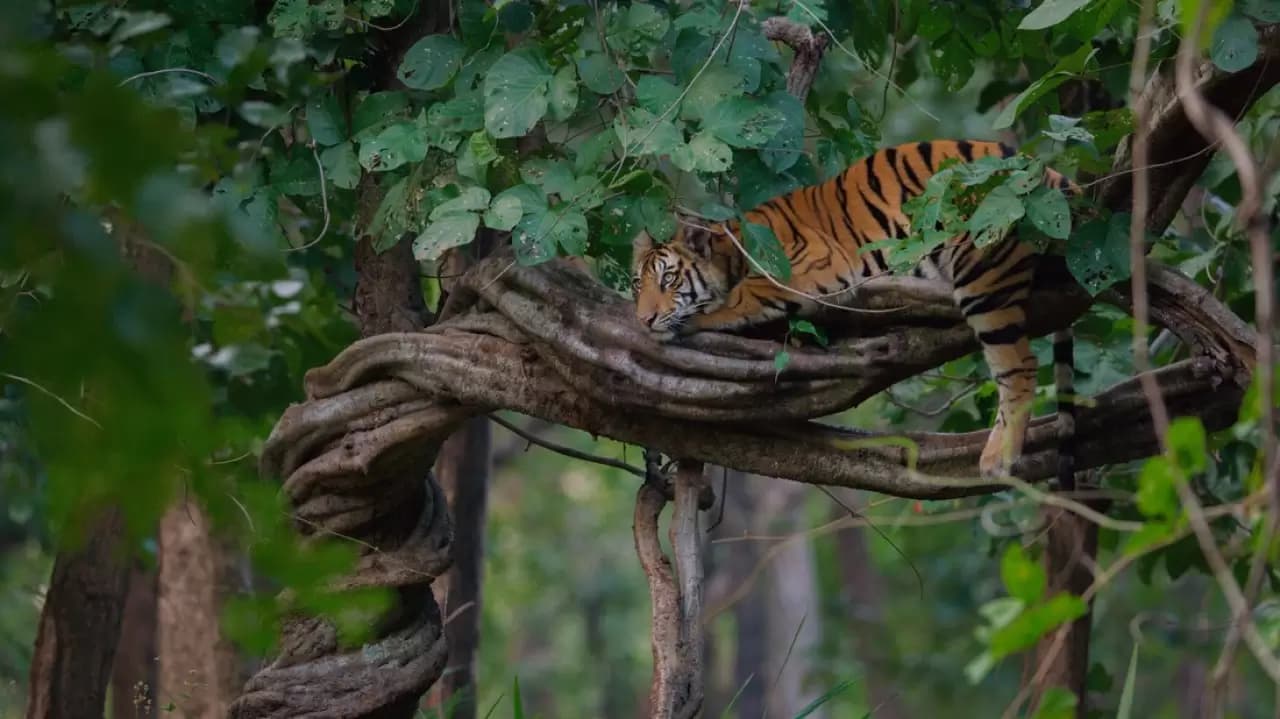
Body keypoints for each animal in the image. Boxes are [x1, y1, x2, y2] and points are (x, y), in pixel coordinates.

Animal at [631, 139, 1079, 479]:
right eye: (639, 284)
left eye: (668, 280)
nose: (643, 319)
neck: (733, 252)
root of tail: (1048, 172)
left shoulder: (809, 263)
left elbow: (740, 298)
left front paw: (693, 319)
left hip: (983, 273)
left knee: (1019, 366)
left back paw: (998, 459)